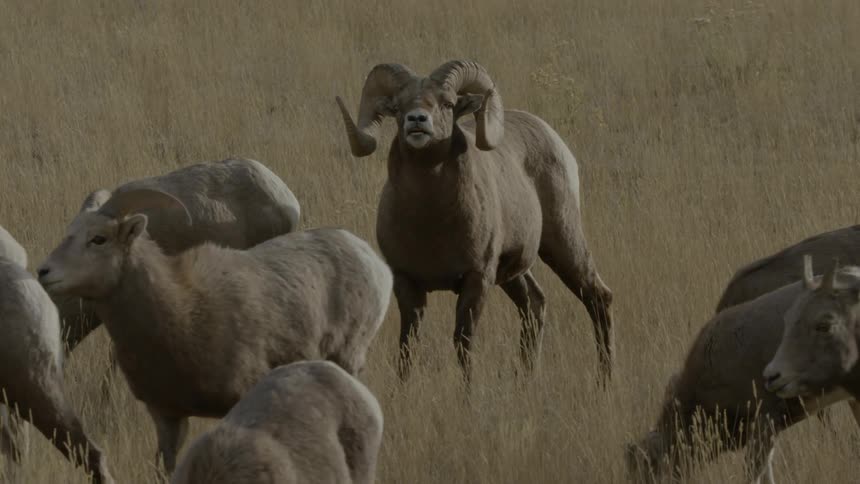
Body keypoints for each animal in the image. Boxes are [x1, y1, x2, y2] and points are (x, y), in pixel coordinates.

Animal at [335, 60, 614, 381]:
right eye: (399, 106)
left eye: (447, 103)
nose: (417, 120)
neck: (430, 224)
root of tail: (554, 139)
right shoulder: (407, 284)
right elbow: (407, 347)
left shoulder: (476, 280)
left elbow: (463, 344)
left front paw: (467, 391)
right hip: (515, 272)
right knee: (534, 304)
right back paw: (526, 379)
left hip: (562, 242)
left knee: (597, 298)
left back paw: (605, 381)